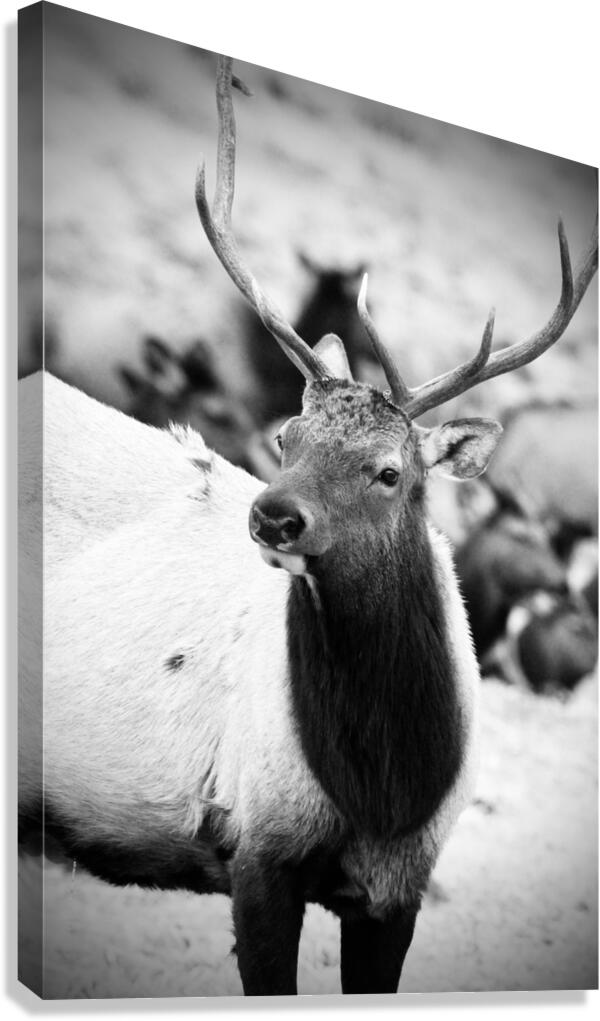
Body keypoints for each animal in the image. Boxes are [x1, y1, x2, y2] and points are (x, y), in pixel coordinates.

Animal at [19, 57, 598, 997]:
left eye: (390, 470)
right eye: (287, 437)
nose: (271, 512)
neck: (384, 784)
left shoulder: (399, 892)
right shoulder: (257, 846)